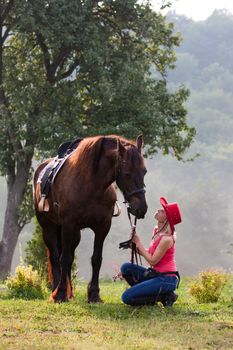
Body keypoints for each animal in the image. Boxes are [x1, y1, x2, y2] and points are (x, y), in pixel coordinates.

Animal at [33, 134, 147, 300]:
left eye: (144, 171)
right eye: (127, 173)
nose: (141, 208)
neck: (91, 186)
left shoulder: (102, 227)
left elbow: (96, 259)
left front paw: (94, 294)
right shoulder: (68, 225)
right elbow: (63, 258)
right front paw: (60, 293)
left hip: (75, 234)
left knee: (69, 258)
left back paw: (70, 293)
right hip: (49, 228)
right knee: (55, 258)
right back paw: (56, 291)